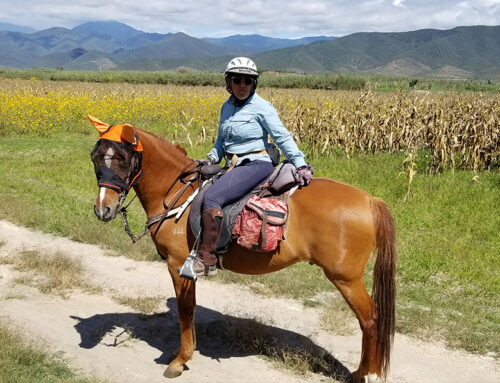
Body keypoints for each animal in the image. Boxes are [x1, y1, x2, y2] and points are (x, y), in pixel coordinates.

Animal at [88, 116, 396, 383]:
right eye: (95, 158)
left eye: (123, 159)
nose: (103, 209)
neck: (178, 193)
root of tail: (369, 200)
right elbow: (189, 310)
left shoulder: (179, 266)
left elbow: (185, 311)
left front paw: (180, 359)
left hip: (346, 279)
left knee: (370, 320)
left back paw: (366, 374)